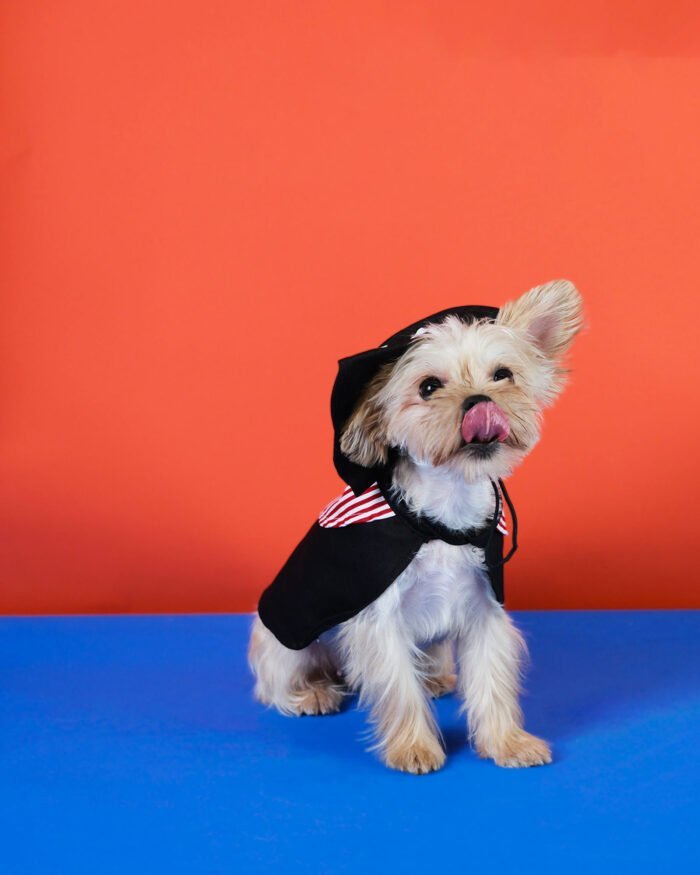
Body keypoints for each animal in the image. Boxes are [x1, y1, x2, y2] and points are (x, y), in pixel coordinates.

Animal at [249, 280, 584, 772]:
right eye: (428, 386)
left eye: (503, 374)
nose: (480, 403)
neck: (445, 514)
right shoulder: (379, 620)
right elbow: (398, 688)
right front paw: (414, 747)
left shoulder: (484, 608)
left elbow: (492, 682)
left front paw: (507, 742)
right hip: (286, 636)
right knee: (273, 681)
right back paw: (309, 693)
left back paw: (433, 677)